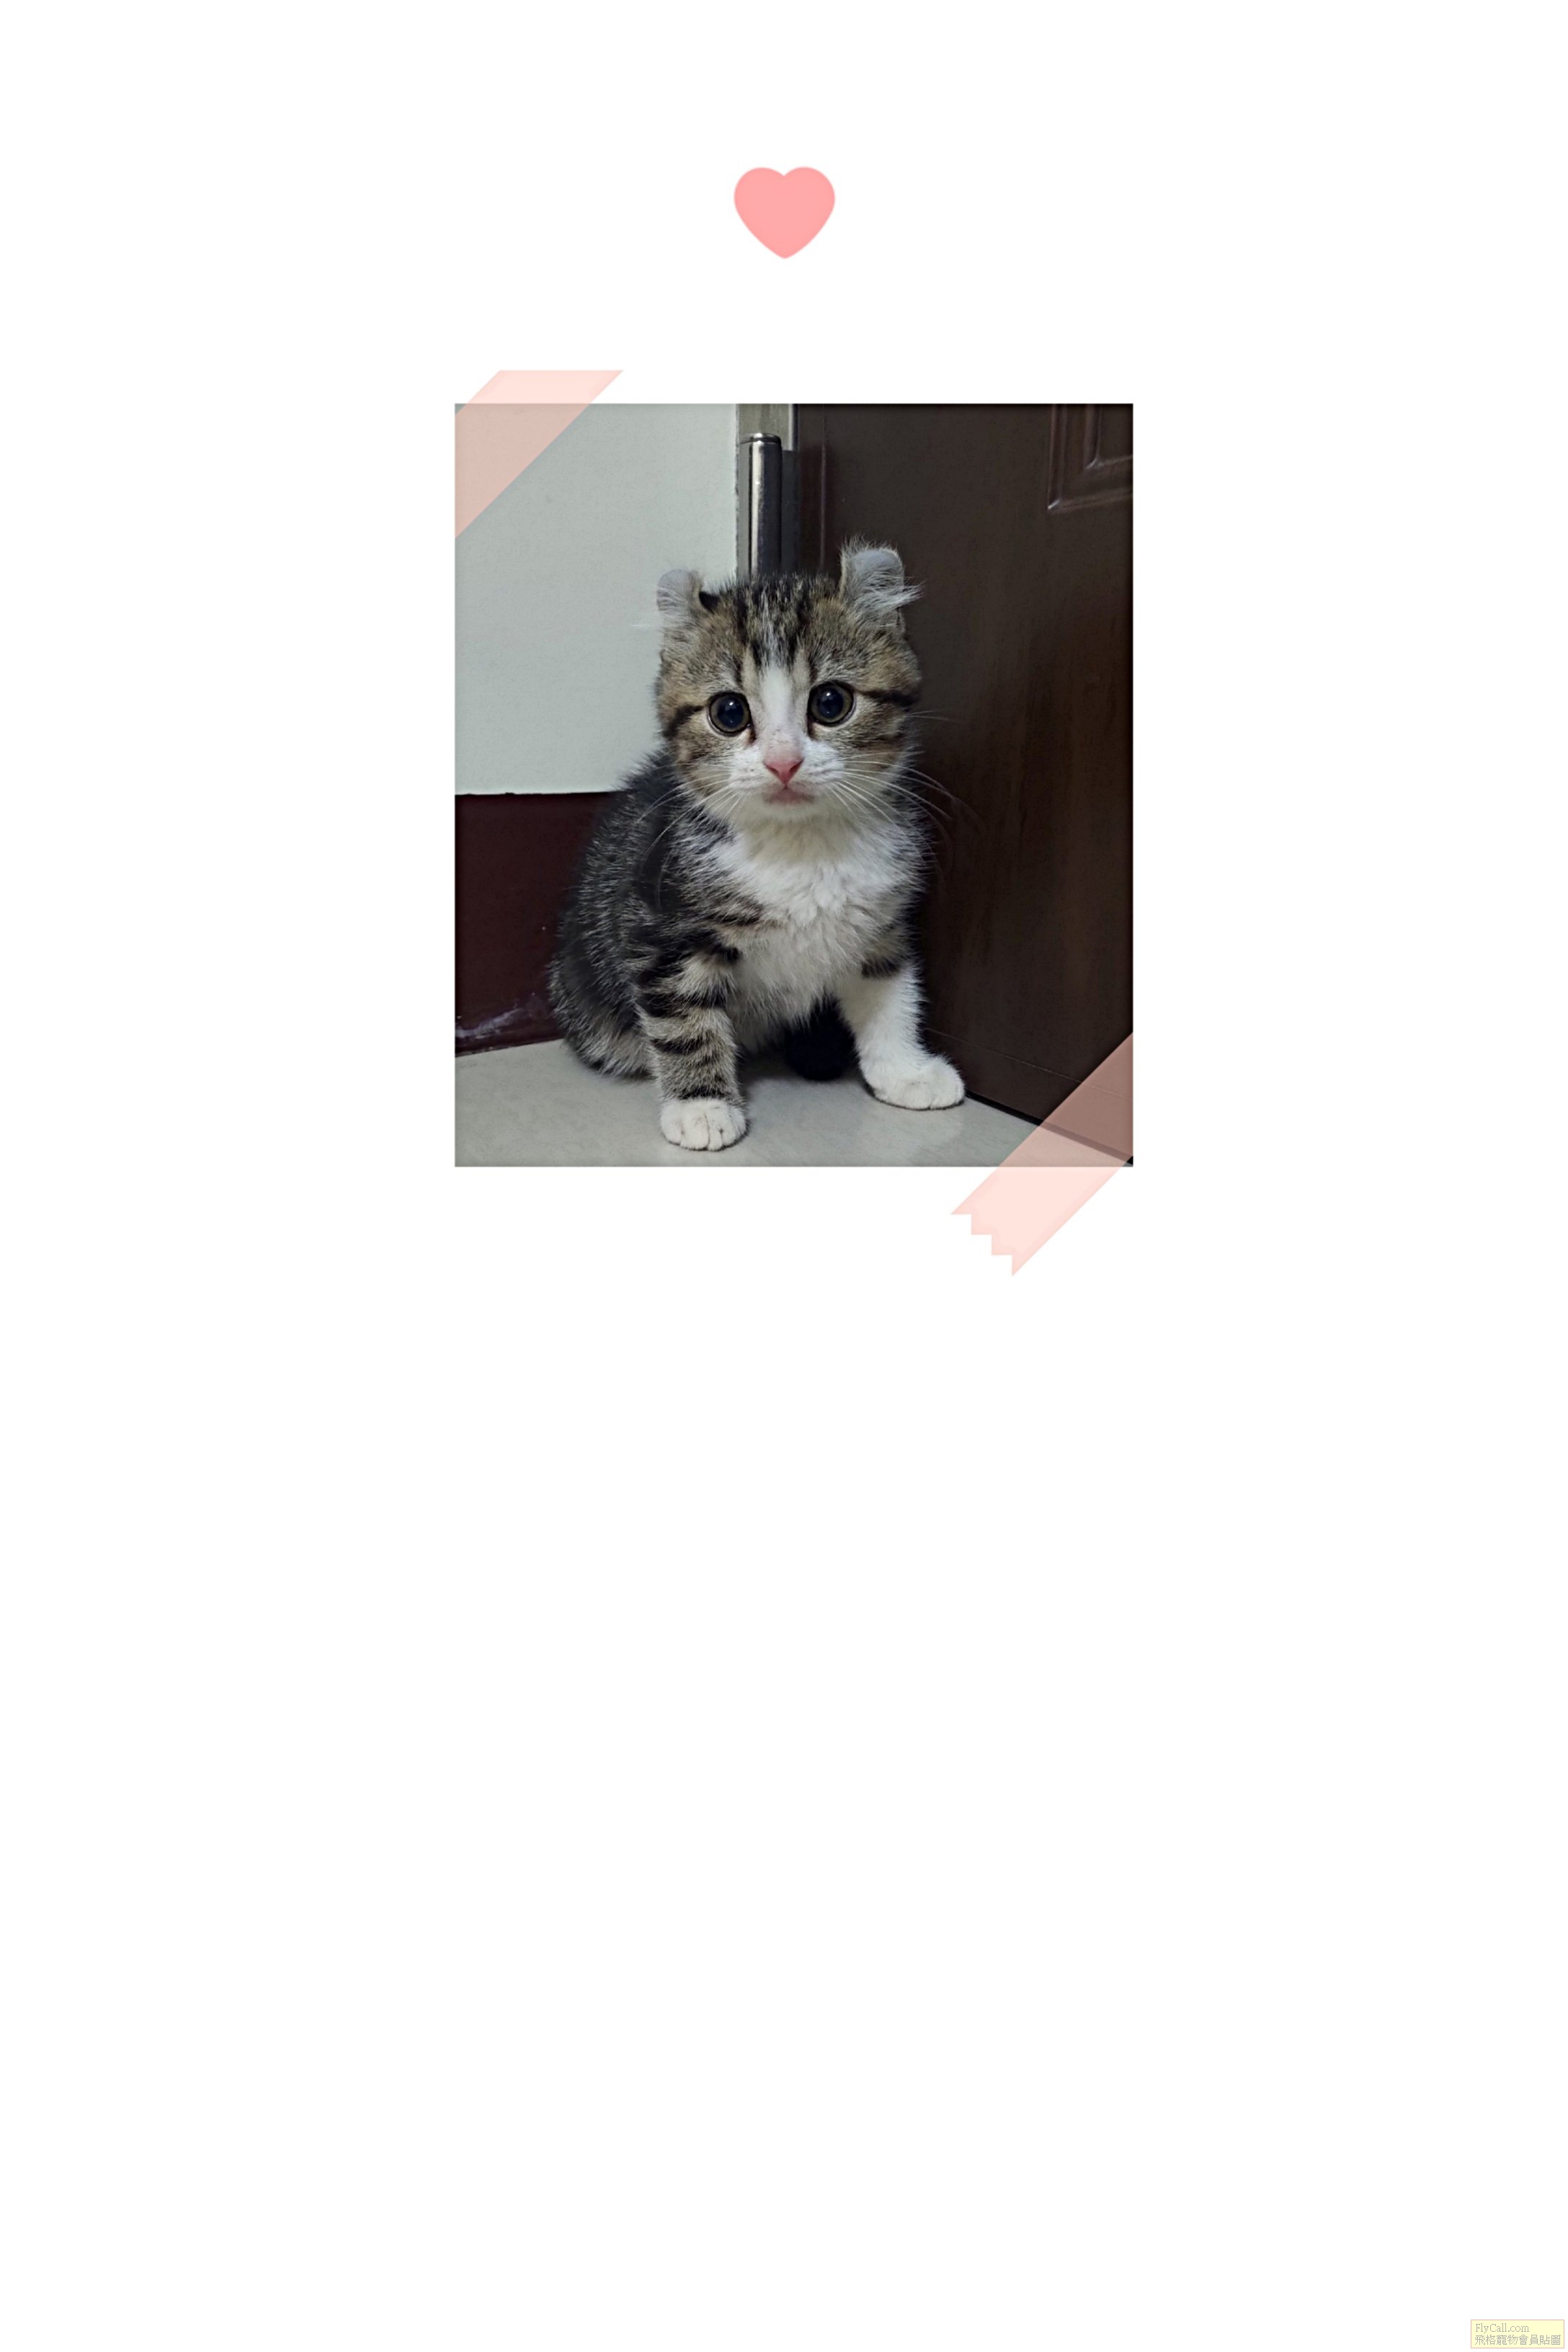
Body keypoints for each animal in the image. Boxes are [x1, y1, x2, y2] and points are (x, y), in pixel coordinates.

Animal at [547, 541, 965, 1152]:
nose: (783, 762)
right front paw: (701, 1105)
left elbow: (890, 990)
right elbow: (682, 1014)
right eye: (729, 712)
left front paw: (904, 1070)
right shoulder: (658, 923)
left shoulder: (880, 917)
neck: (802, 847)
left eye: (832, 702)